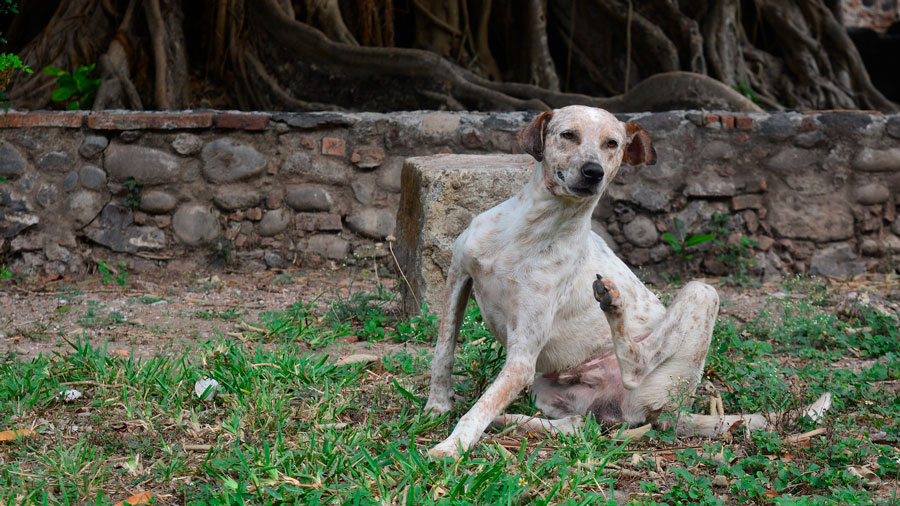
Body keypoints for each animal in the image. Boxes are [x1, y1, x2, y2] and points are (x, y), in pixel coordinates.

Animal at [422, 105, 828, 458]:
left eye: (612, 143)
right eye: (568, 135)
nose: (593, 172)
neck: (532, 230)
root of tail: (673, 411)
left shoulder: (522, 360)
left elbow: (480, 407)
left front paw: (451, 447)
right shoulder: (458, 276)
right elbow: (443, 351)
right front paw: (436, 406)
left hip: (701, 293)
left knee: (635, 365)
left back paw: (613, 305)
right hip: (548, 391)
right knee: (578, 425)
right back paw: (516, 421)